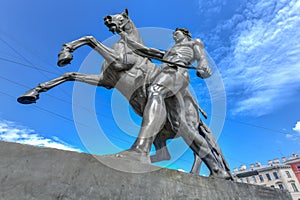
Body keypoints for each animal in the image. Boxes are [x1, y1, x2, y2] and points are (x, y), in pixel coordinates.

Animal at [17, 8, 231, 180]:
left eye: (123, 16)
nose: (107, 18)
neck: (130, 50)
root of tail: (194, 105)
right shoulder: (105, 81)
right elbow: (69, 74)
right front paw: (33, 92)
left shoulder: (119, 62)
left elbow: (90, 39)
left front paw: (65, 52)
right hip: (169, 124)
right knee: (171, 150)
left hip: (180, 117)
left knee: (195, 148)